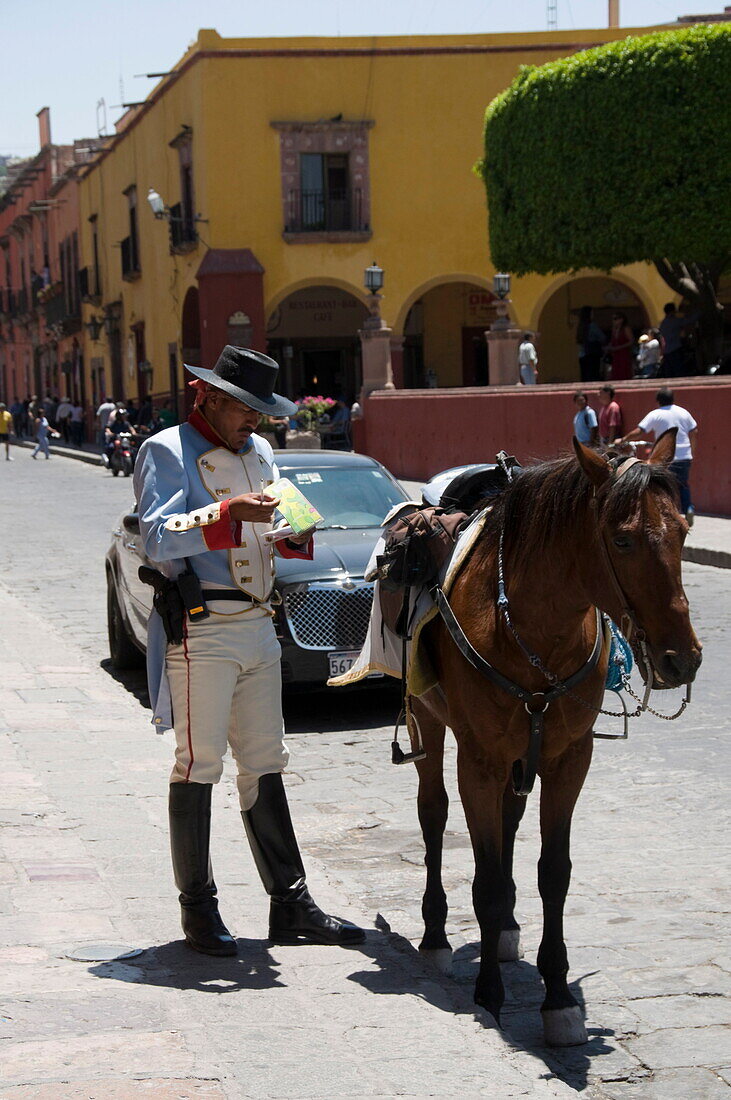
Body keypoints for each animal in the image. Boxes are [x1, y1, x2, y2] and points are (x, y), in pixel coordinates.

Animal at [406, 433, 699, 1042]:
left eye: (684, 531)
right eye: (622, 539)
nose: (681, 659)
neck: (530, 628)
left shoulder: (569, 759)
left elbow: (553, 873)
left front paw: (559, 996)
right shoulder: (480, 761)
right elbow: (486, 882)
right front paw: (489, 996)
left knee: (509, 824)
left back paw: (507, 932)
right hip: (427, 720)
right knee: (433, 815)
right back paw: (436, 936)